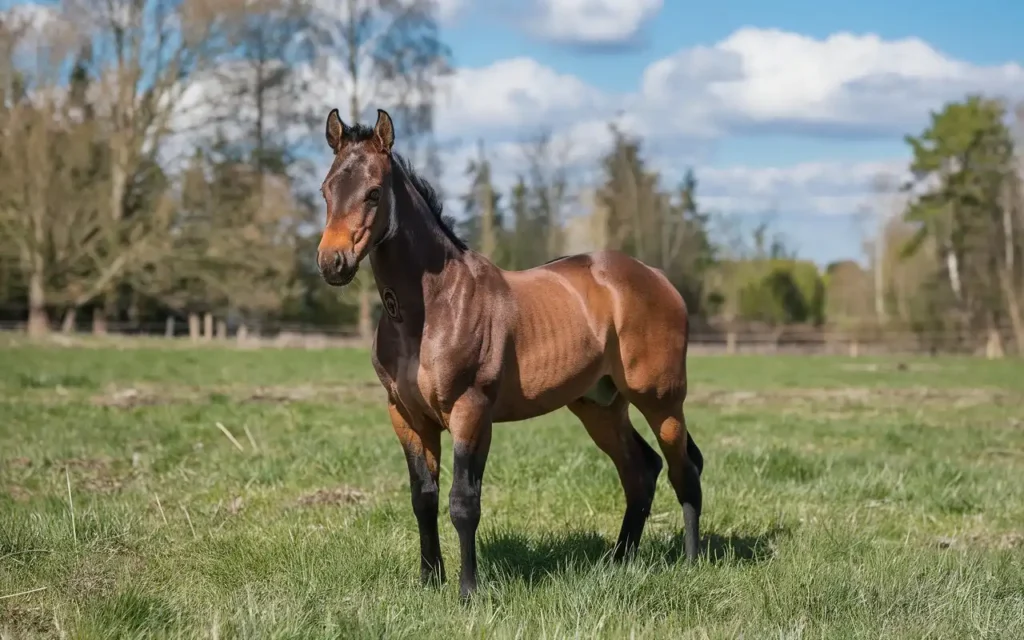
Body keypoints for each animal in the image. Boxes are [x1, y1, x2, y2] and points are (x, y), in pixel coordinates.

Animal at [319, 107, 704, 598]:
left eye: (373, 193)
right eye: (326, 190)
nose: (332, 263)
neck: (432, 308)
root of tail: (658, 278)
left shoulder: (470, 412)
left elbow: (463, 502)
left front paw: (467, 591)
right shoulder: (406, 416)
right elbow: (423, 498)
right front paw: (429, 581)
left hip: (661, 401)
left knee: (683, 469)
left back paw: (691, 563)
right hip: (600, 405)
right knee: (641, 471)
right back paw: (618, 561)